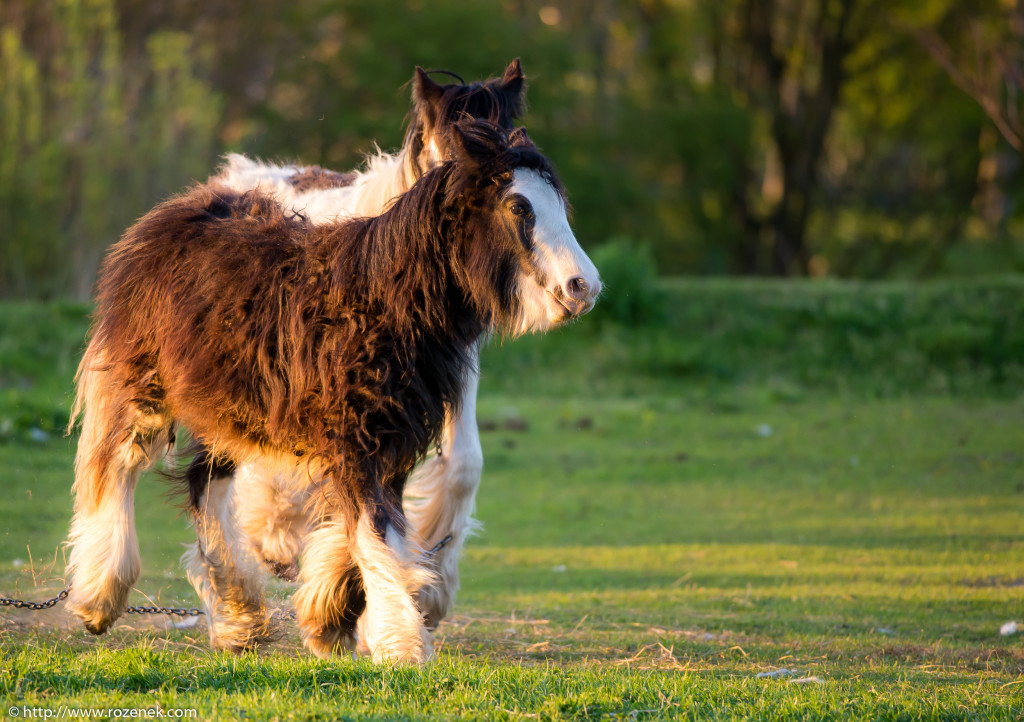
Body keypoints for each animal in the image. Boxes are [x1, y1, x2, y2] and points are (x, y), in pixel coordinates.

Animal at [66, 120, 598, 663]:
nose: (585, 288)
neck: (385, 304)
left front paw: (329, 617)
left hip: (232, 409)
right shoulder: (356, 435)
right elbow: (374, 529)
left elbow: (368, 527)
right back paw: (100, 597)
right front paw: (400, 644)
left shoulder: (388, 441)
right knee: (117, 467)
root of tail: (170, 214)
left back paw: (239, 617)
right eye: (519, 207)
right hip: (145, 388)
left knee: (203, 483)